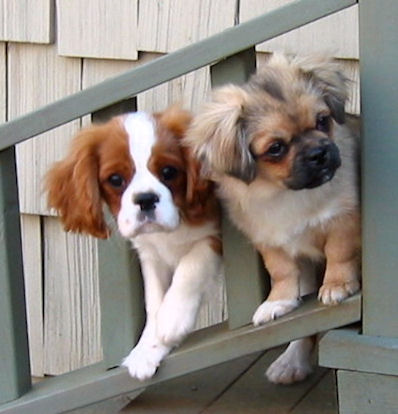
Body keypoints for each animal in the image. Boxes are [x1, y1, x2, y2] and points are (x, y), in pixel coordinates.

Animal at [47, 106, 222, 382]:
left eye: (169, 172)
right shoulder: (151, 256)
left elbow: (191, 265)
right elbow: (153, 301)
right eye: (116, 179)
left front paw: (172, 317)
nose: (146, 199)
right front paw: (148, 348)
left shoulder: (215, 231)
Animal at [185, 55, 362, 384]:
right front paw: (278, 301)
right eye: (276, 148)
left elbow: (339, 253)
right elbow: (282, 272)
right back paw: (292, 362)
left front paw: (337, 285)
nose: (319, 153)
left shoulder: (344, 218)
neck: (285, 193)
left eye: (323, 121)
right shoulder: (270, 240)